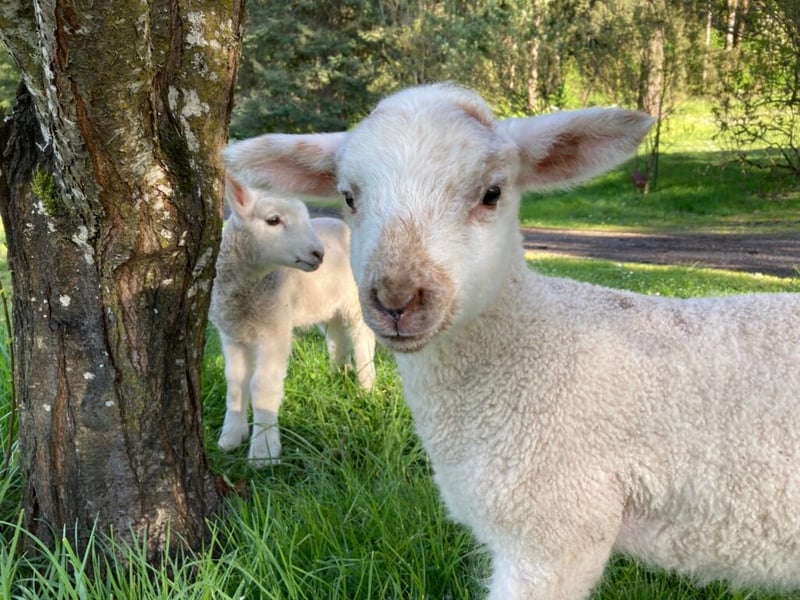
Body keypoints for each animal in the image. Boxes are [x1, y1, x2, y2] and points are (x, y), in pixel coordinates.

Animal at [209, 176, 376, 466]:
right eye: (273, 220)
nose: (318, 253)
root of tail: (341, 224)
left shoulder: (275, 330)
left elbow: (262, 385)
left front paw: (264, 452)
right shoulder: (232, 333)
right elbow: (235, 383)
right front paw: (230, 438)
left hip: (355, 299)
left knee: (362, 337)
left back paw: (365, 386)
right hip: (327, 302)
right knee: (336, 334)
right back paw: (338, 372)